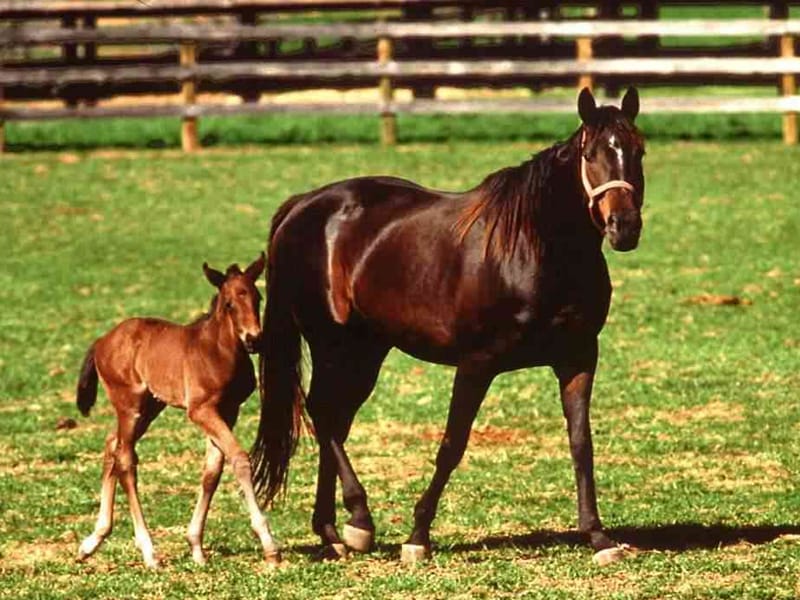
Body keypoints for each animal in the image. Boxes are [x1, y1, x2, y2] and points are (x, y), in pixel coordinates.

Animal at [75, 254, 282, 568]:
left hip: (151, 406)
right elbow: (239, 458)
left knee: (113, 444)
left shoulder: (228, 410)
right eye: (229, 303)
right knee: (126, 460)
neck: (218, 351)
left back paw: (93, 540)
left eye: (258, 297)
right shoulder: (201, 410)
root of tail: (102, 341)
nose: (254, 339)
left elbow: (212, 471)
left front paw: (195, 546)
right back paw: (149, 552)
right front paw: (269, 545)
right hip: (130, 405)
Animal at [253, 86, 648, 564]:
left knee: (335, 420)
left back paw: (334, 531)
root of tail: (303, 206)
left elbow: (580, 444)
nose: (624, 227)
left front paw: (598, 537)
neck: (535, 248)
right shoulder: (476, 364)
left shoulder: (578, 358)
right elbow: (452, 445)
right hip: (332, 344)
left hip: (365, 352)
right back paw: (358, 519)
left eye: (638, 151)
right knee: (323, 415)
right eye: (591, 155)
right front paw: (418, 536)